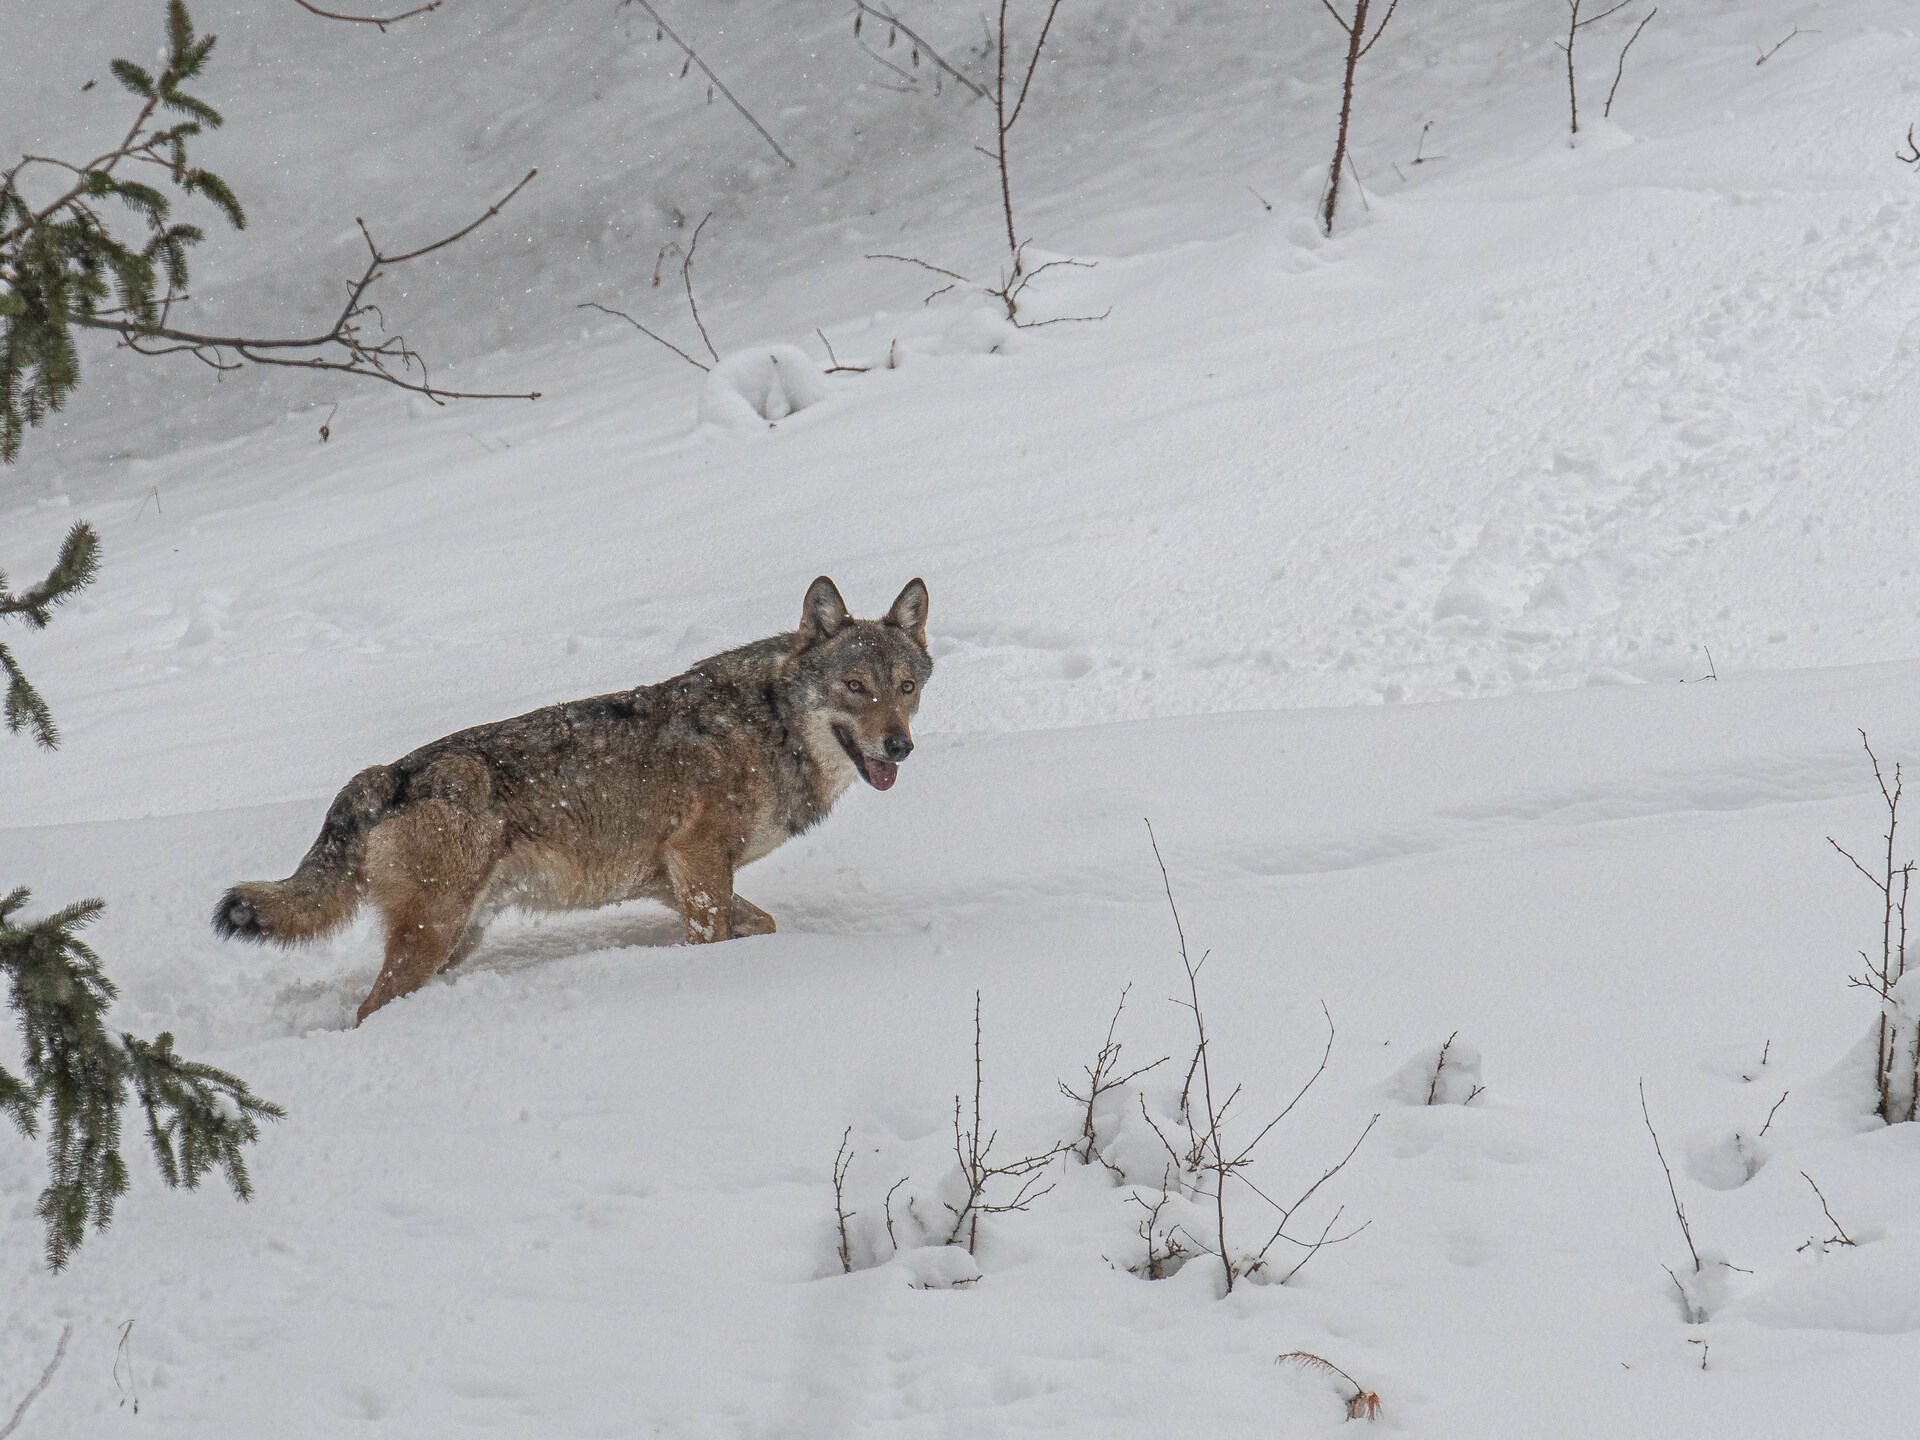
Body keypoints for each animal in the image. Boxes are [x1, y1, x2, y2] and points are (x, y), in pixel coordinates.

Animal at [214, 576, 932, 1022]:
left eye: (905, 686)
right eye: (855, 686)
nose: (899, 747)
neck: (770, 726)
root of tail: (387, 774)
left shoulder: (675, 880)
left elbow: (763, 925)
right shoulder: (699, 865)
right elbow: (717, 940)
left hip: (457, 938)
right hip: (434, 936)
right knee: (367, 1010)